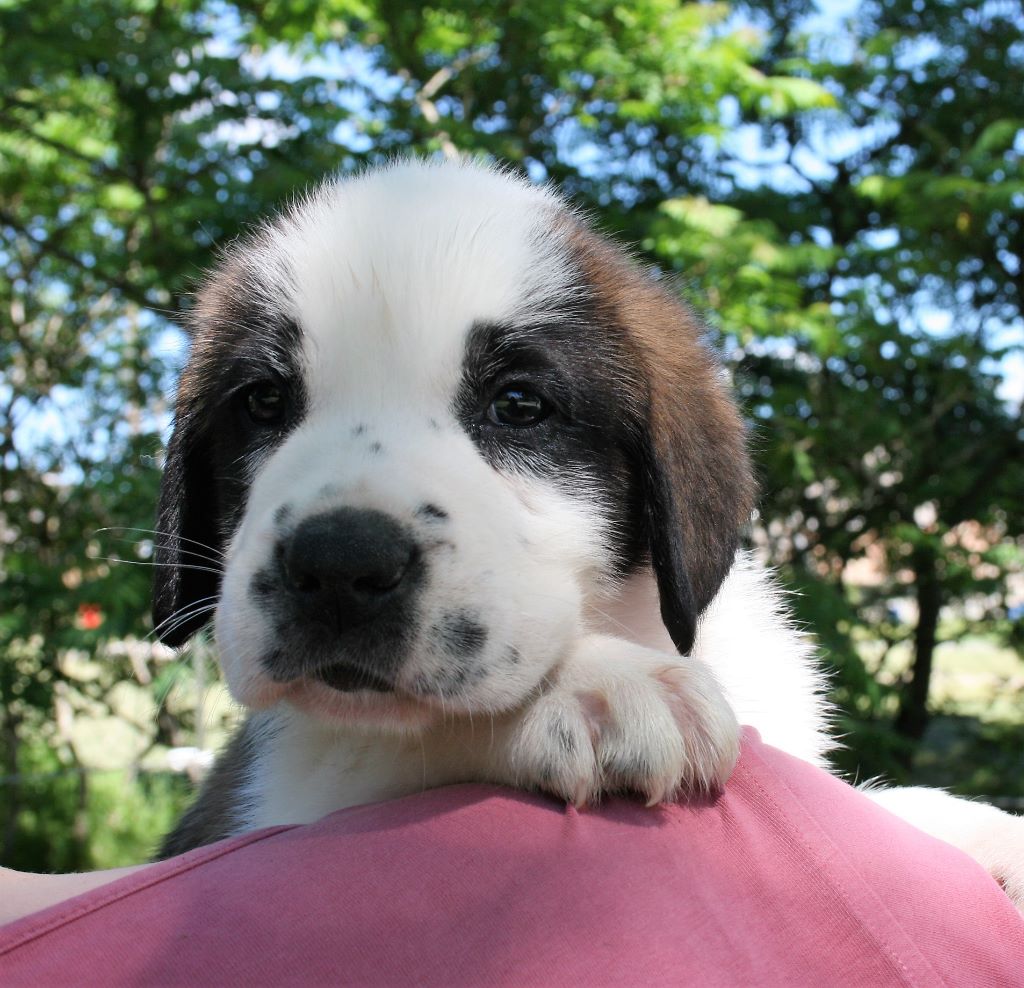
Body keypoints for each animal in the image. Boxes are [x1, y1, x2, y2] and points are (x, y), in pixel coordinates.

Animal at [153, 157, 1024, 905]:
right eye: (264, 402)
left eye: (518, 405)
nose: (337, 563)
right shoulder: (271, 793)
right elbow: (396, 741)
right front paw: (590, 686)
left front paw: (978, 831)